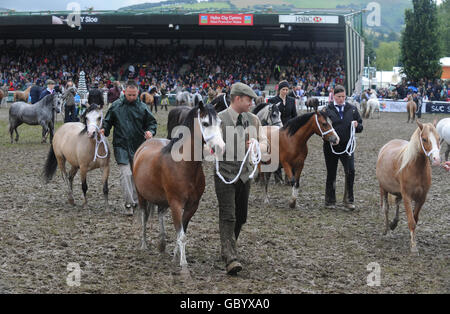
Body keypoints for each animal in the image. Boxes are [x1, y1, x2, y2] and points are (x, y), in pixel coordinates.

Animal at [133, 101, 225, 270]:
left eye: (220, 123)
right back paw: (144, 244)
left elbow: (182, 231)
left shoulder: (192, 206)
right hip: (141, 195)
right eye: (205, 123)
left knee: (160, 214)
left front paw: (176, 256)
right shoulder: (176, 203)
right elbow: (181, 234)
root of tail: (144, 145)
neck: (183, 165)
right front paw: (183, 263)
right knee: (144, 217)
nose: (220, 148)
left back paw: (162, 244)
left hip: (162, 199)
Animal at [374, 120, 442, 255]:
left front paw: (412, 239)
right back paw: (387, 230)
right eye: (424, 139)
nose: (436, 159)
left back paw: (393, 224)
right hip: (383, 189)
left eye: (438, 138)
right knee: (386, 209)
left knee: (396, 203)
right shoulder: (407, 196)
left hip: (398, 192)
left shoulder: (421, 198)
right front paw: (414, 247)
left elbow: (415, 218)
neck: (416, 168)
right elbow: (411, 221)